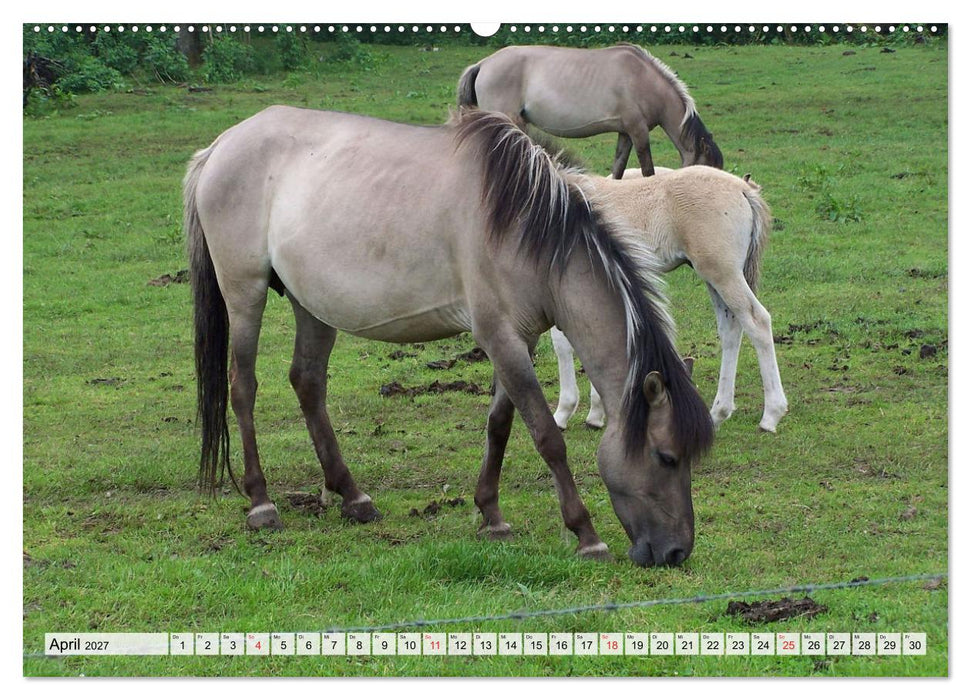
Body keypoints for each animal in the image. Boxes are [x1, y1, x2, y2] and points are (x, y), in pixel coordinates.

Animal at [184, 107, 714, 567]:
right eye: (666, 457)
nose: (676, 552)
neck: (528, 225)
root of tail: (219, 146)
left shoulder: (519, 340)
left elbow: (500, 424)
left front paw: (491, 515)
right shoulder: (499, 337)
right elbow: (546, 435)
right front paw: (585, 533)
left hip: (311, 304)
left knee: (308, 383)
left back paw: (353, 496)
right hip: (245, 293)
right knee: (243, 388)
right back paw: (261, 503)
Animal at [457, 44, 723, 179]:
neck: (643, 79)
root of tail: (483, 64)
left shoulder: (626, 133)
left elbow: (618, 169)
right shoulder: (638, 132)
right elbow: (648, 171)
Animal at [550, 167, 788, 433]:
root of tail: (743, 189)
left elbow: (563, 343)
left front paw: (563, 413)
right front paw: (596, 413)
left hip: (723, 273)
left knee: (757, 322)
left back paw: (771, 415)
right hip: (716, 278)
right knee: (731, 329)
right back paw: (718, 413)